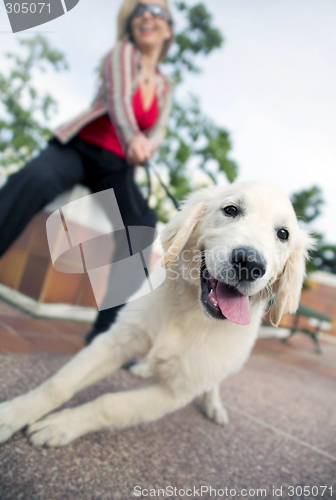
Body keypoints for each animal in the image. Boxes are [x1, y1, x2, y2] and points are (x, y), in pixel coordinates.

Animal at [0, 182, 312, 448]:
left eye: (283, 234)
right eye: (231, 210)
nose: (249, 263)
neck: (191, 312)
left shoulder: (177, 391)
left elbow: (109, 404)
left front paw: (61, 425)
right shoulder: (118, 340)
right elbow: (59, 384)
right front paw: (14, 415)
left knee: (214, 382)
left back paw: (213, 405)